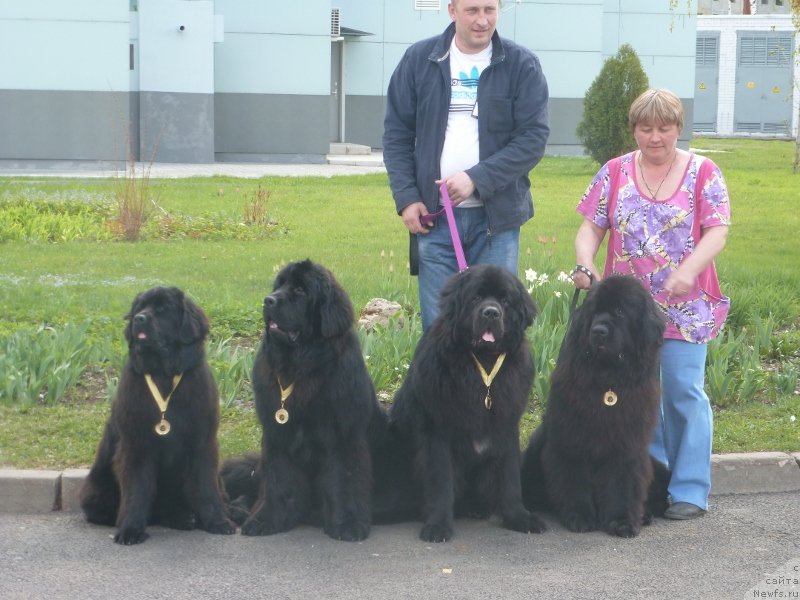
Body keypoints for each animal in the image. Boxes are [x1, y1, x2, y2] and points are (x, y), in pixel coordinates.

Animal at [81, 286, 238, 544]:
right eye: (139, 308)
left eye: (162, 310)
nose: (139, 319)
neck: (164, 375)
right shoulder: (136, 445)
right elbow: (136, 490)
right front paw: (130, 529)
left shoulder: (203, 442)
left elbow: (206, 486)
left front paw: (218, 522)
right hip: (97, 495)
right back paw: (181, 518)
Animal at [223, 260, 386, 540]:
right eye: (278, 286)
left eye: (300, 290)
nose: (268, 300)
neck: (300, 368)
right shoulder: (277, 437)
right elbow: (276, 482)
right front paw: (266, 520)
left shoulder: (343, 435)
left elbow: (345, 478)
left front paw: (348, 524)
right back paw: (238, 511)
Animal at [386, 264, 544, 540]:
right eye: (477, 297)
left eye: (505, 301)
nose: (491, 312)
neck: (482, 363)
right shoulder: (437, 431)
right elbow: (441, 482)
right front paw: (437, 525)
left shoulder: (506, 425)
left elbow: (510, 477)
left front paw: (519, 517)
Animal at [520, 276, 672, 540]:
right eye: (594, 312)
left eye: (620, 312)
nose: (598, 331)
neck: (608, 382)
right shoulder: (572, 439)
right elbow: (574, 479)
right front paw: (579, 517)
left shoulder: (627, 445)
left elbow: (622, 484)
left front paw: (622, 521)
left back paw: (644, 514)